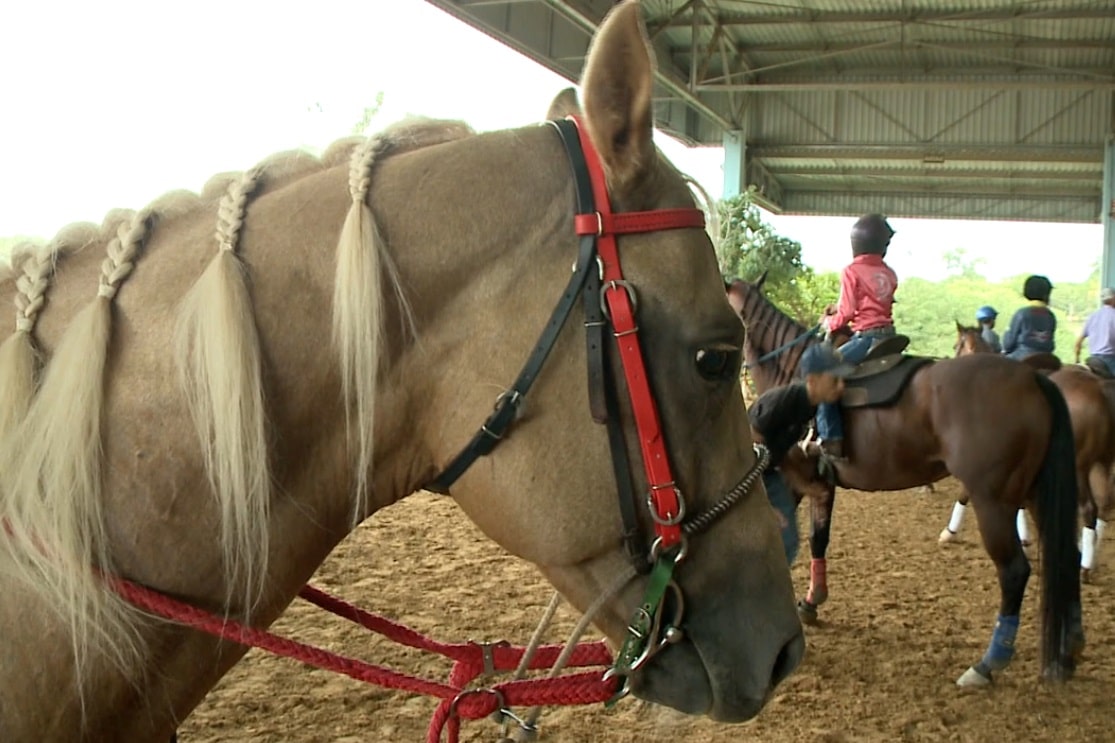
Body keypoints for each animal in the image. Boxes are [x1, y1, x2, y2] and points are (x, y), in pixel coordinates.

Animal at [726, 274, 1083, 687]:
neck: (788, 368)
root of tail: (1034, 379)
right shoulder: (819, 483)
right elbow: (818, 539)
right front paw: (811, 602)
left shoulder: (790, 475)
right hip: (1037, 494)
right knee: (1068, 557)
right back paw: (1070, 647)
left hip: (993, 502)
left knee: (1014, 572)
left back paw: (987, 663)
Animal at [949, 319, 1115, 571]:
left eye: (956, 346)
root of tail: (1100, 390)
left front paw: (949, 532)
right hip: (1104, 461)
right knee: (1105, 505)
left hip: (1079, 467)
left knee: (1089, 509)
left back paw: (1084, 564)